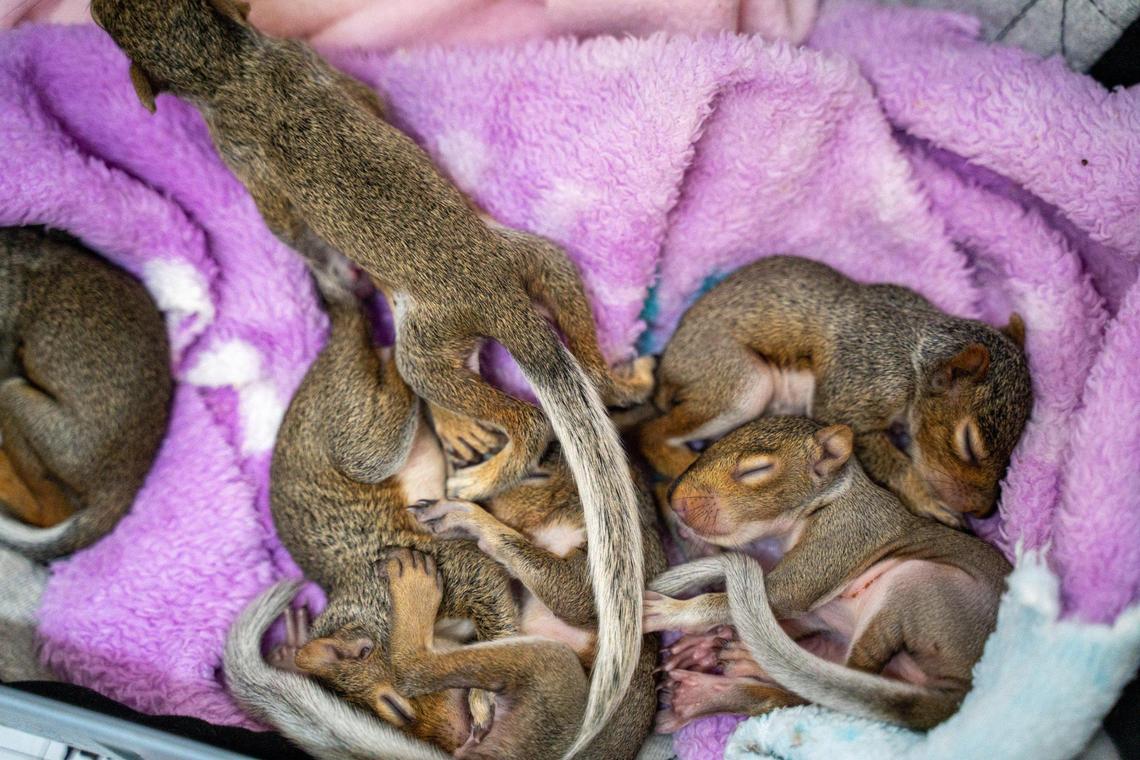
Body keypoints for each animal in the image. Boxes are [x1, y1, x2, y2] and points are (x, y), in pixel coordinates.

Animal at [92, 2, 653, 748]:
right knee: (569, 318)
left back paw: (483, 470)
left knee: (513, 414)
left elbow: (277, 217)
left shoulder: (238, 149)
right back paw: (618, 378)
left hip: (425, 341)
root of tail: (502, 301)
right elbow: (373, 100)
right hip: (535, 260)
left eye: (105, 21)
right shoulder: (315, 65)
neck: (231, 58)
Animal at [639, 255, 1032, 528]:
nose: (983, 511)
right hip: (741, 385)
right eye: (967, 444)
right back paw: (682, 465)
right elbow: (888, 459)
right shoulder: (858, 389)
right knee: (651, 434)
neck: (914, 355)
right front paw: (929, 500)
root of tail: (669, 365)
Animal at [641, 416, 1011, 731]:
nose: (674, 499)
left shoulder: (845, 530)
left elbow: (778, 593)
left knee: (836, 680)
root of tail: (965, 688)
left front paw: (669, 611)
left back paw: (727, 676)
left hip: (920, 586)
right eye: (711, 445)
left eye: (757, 469)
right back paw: (704, 662)